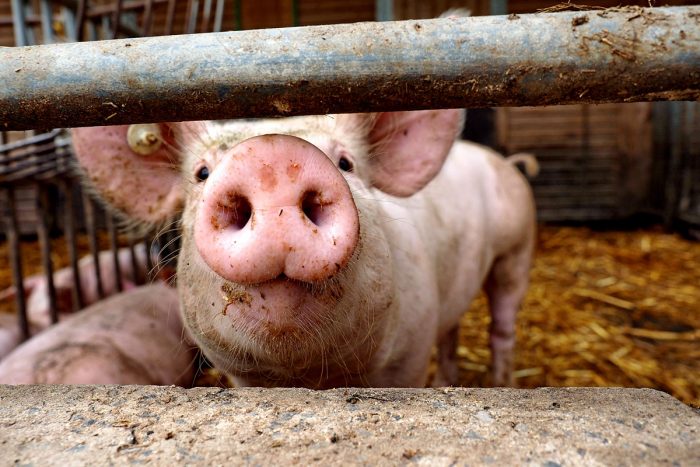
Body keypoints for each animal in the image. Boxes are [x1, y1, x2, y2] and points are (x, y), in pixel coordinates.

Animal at [71, 109, 536, 388]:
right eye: (202, 172)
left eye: (346, 163)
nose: (272, 158)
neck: (309, 379)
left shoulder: (410, 353)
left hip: (517, 249)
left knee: (502, 326)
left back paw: (502, 385)